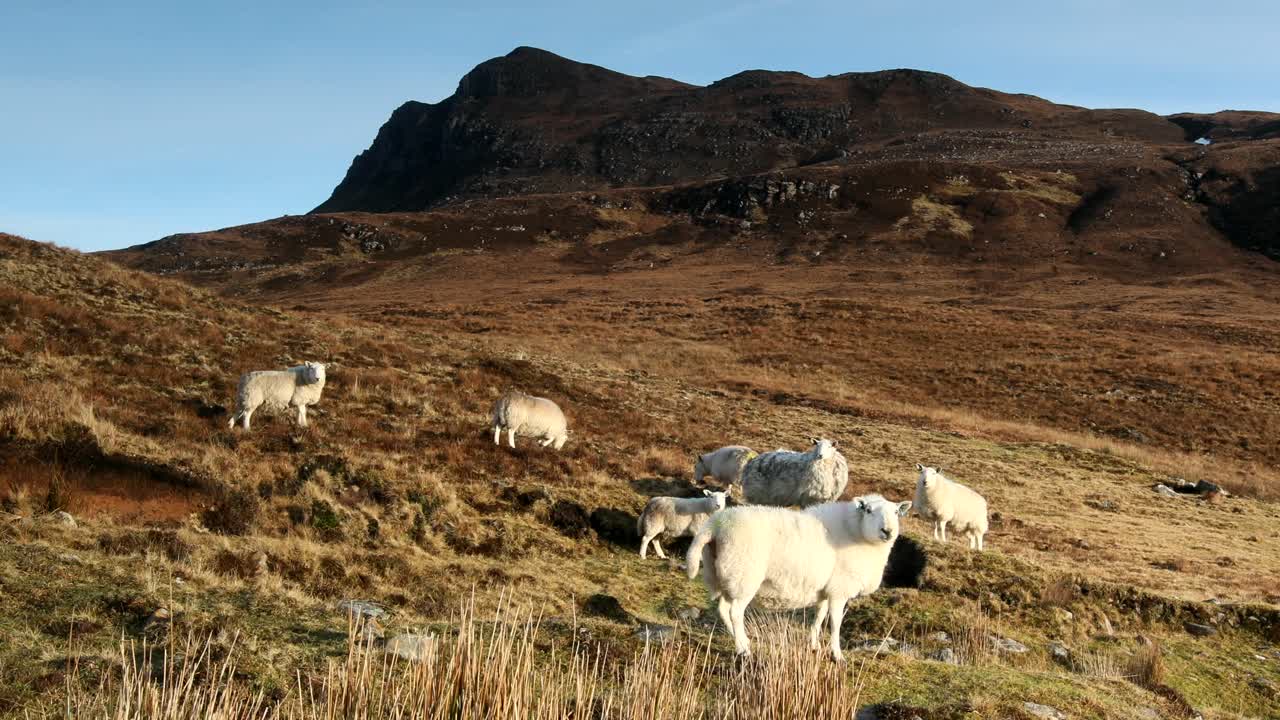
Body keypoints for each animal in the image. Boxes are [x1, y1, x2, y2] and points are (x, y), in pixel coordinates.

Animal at [686, 494, 912, 661]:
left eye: (896, 512)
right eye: (868, 510)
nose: (887, 531)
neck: (856, 532)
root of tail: (716, 525)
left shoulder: (825, 590)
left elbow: (819, 617)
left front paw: (814, 645)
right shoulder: (839, 590)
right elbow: (835, 623)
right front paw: (837, 655)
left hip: (728, 575)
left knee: (723, 609)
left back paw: (741, 640)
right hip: (744, 576)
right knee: (735, 612)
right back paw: (743, 650)